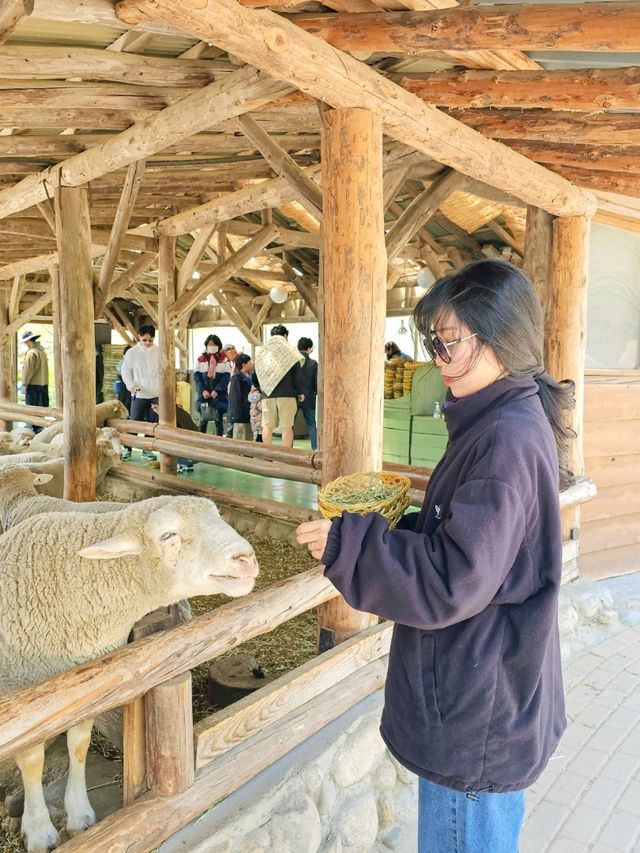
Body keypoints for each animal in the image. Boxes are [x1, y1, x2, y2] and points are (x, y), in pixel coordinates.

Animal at [1, 492, 258, 852]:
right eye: (168, 535)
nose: (246, 559)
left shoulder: (86, 688)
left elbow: (79, 744)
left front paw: (80, 815)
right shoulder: (21, 697)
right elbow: (32, 761)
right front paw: (39, 831)